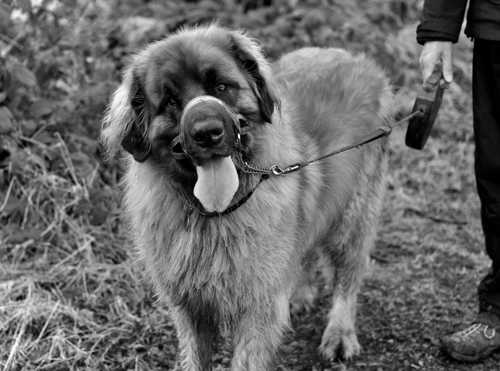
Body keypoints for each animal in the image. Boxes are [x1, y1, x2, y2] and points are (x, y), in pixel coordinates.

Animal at [101, 24, 394, 370]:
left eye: (222, 86)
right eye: (170, 101)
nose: (207, 133)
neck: (214, 215)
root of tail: (358, 60)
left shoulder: (256, 309)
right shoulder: (190, 307)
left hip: (353, 217)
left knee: (348, 275)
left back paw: (340, 333)